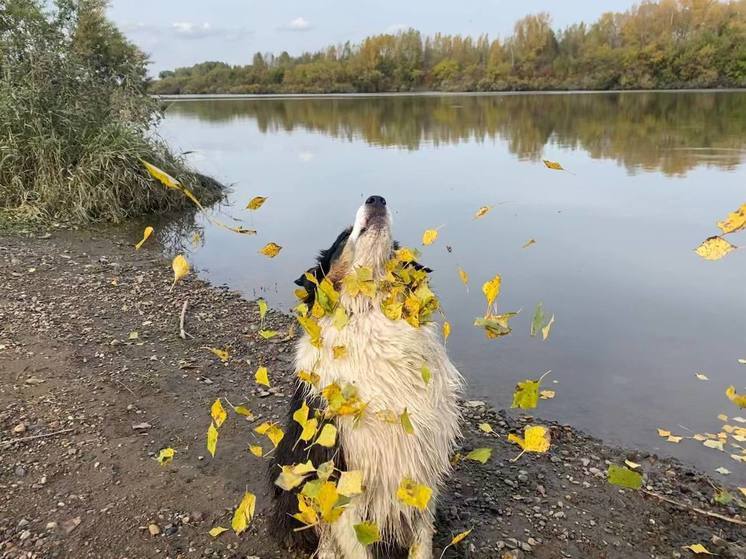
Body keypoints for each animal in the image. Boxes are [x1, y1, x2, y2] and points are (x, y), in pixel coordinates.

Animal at [270, 195, 462, 556]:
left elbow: (422, 538)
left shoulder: (421, 464)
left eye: (397, 249)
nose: (376, 198)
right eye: (343, 236)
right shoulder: (340, 473)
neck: (371, 313)